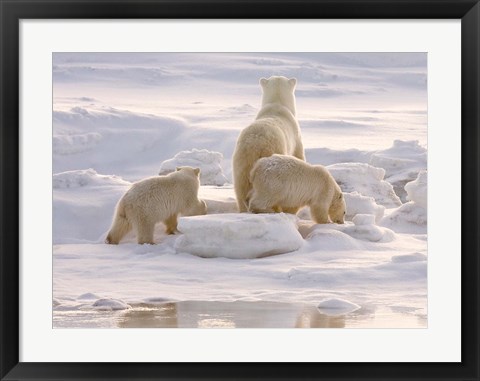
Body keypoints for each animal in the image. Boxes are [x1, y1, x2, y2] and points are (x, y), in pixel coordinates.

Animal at [232, 75, 304, 212]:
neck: (277, 104)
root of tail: (257, 145)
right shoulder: (296, 138)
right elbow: (299, 156)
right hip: (274, 156)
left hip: (241, 161)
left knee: (241, 188)